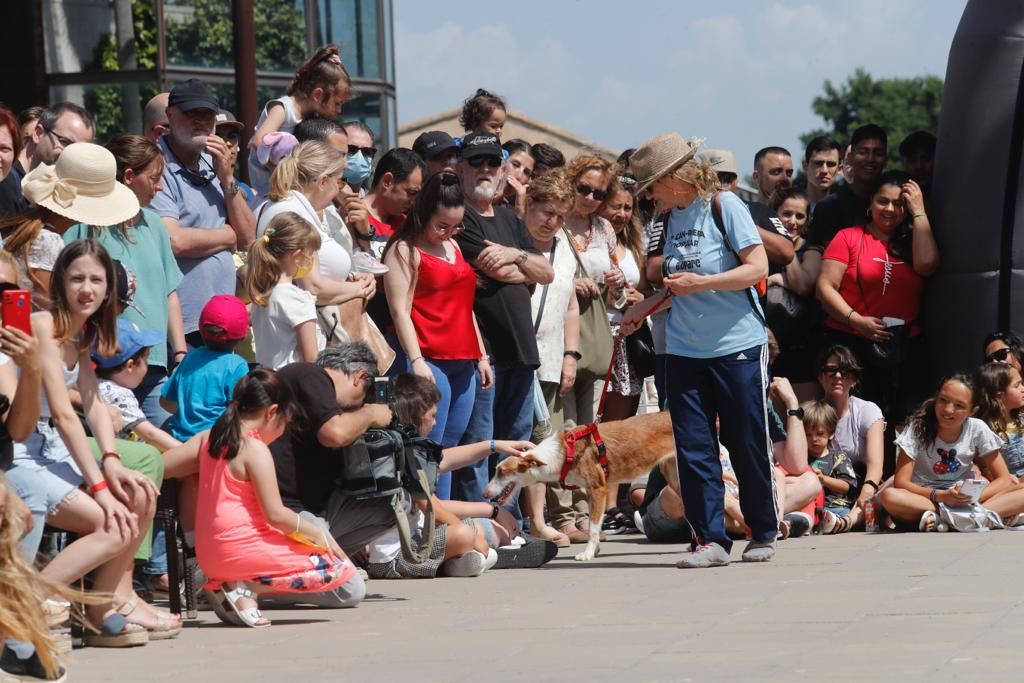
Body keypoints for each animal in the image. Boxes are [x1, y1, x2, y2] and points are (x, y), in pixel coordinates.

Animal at [483, 411, 675, 561]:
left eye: (501, 472)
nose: (484, 494)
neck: (562, 453)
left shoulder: (598, 489)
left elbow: (593, 527)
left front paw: (588, 553)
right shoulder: (591, 492)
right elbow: (592, 525)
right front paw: (594, 549)